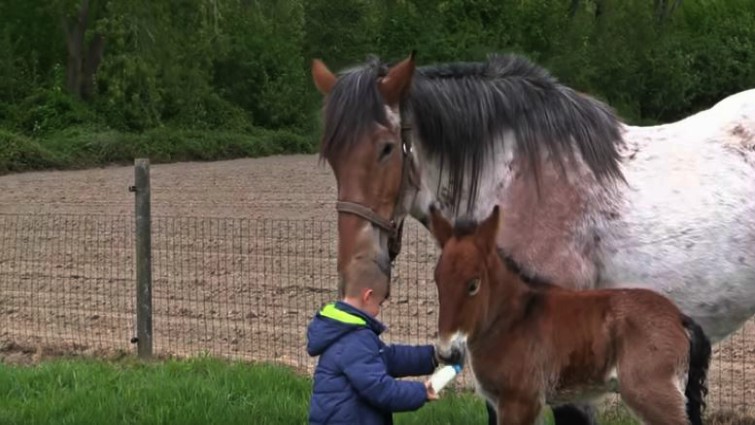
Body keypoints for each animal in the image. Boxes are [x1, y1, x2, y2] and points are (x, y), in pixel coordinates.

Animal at [427, 204, 712, 425]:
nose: (446, 352)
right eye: (437, 279)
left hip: (654, 394)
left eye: (473, 284)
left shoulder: (519, 400)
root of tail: (679, 317)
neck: (513, 319)